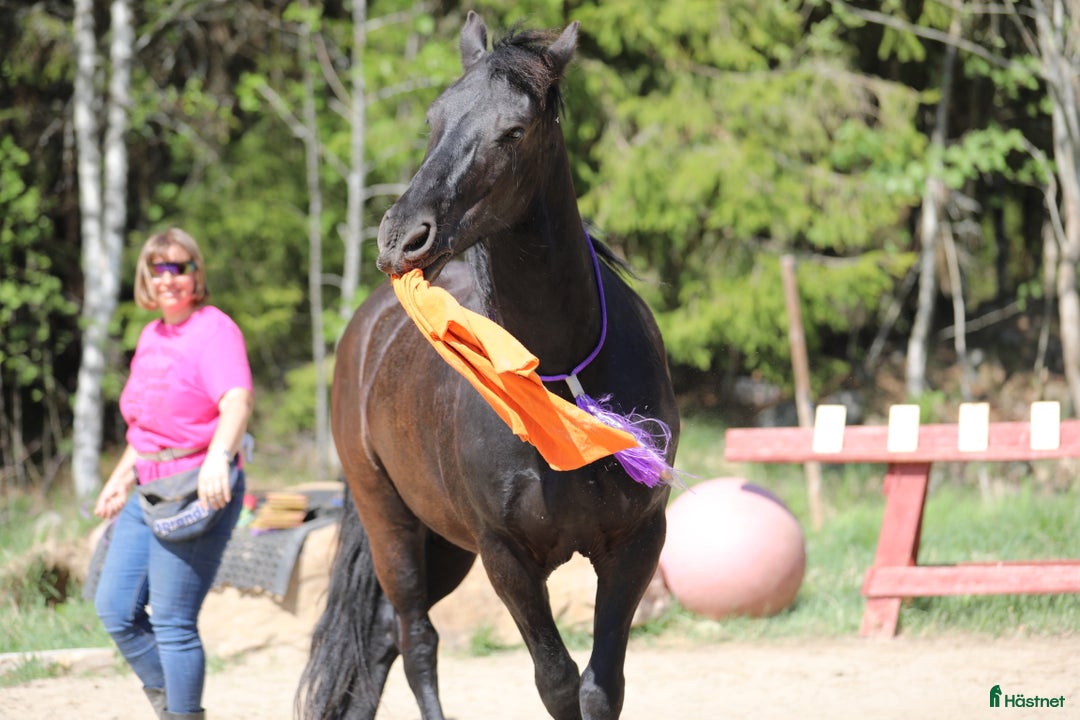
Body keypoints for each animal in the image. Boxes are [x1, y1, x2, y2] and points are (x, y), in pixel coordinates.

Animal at [299, 13, 679, 720]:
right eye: (434, 118)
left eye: (515, 130)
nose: (400, 238)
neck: (559, 375)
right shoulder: (506, 557)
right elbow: (557, 681)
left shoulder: (637, 542)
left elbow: (600, 686)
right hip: (391, 524)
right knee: (414, 639)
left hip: (443, 545)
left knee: (382, 643)